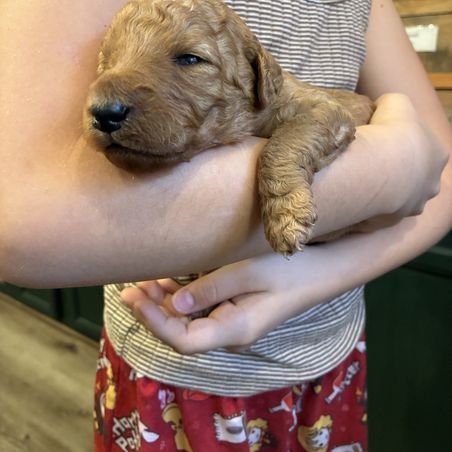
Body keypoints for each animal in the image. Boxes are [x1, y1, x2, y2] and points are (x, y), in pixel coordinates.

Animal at [83, 0, 374, 255]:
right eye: (107, 63)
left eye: (190, 59)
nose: (105, 112)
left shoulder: (324, 109)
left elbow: (282, 143)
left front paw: (287, 216)